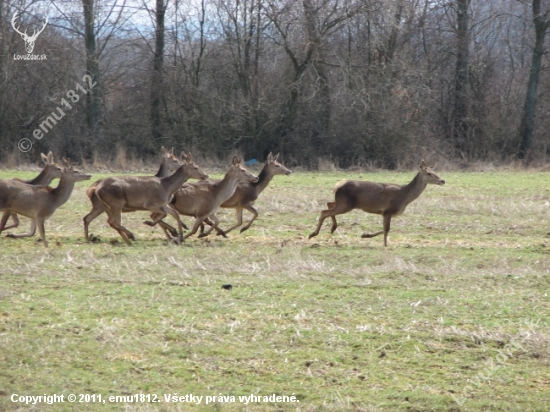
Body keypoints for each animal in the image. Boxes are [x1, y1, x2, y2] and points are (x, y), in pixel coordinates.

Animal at [308, 160, 446, 245]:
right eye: (428, 173)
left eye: (435, 172)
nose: (442, 180)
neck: (405, 197)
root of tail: (337, 186)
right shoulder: (388, 211)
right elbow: (387, 229)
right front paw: (384, 245)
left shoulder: (386, 213)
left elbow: (386, 229)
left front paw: (365, 235)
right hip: (346, 204)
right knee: (324, 211)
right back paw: (313, 234)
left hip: (342, 202)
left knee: (328, 204)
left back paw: (332, 228)